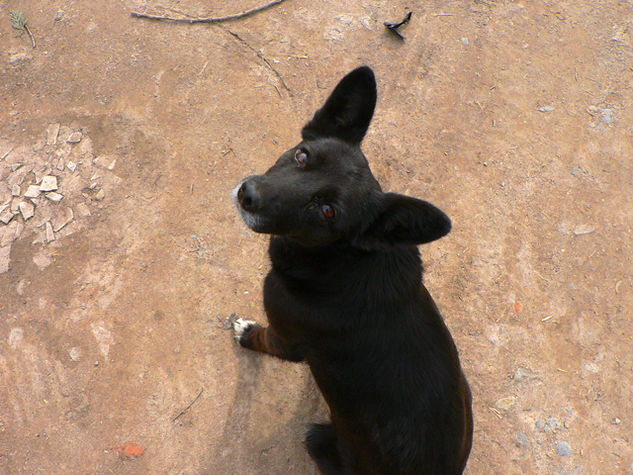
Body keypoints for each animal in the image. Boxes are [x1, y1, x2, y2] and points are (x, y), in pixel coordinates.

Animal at [231, 67, 470, 475]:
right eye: (302, 155)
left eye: (327, 211)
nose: (249, 195)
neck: (338, 263)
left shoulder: (286, 338)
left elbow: (263, 339)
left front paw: (246, 333)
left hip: (318, 438)